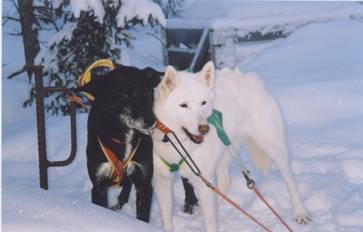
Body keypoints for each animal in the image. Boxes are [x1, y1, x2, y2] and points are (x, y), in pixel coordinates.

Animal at [75, 65, 162, 221]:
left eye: (147, 92)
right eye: (123, 94)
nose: (151, 121)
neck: (124, 138)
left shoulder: (144, 183)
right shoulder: (99, 185)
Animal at [152, 60, 312, 231]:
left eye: (203, 103)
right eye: (183, 105)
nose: (205, 129)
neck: (177, 143)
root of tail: (248, 77)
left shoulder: (203, 181)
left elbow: (210, 222)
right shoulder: (162, 182)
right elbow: (167, 221)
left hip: (273, 147)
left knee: (290, 180)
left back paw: (301, 213)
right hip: (224, 151)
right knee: (225, 182)